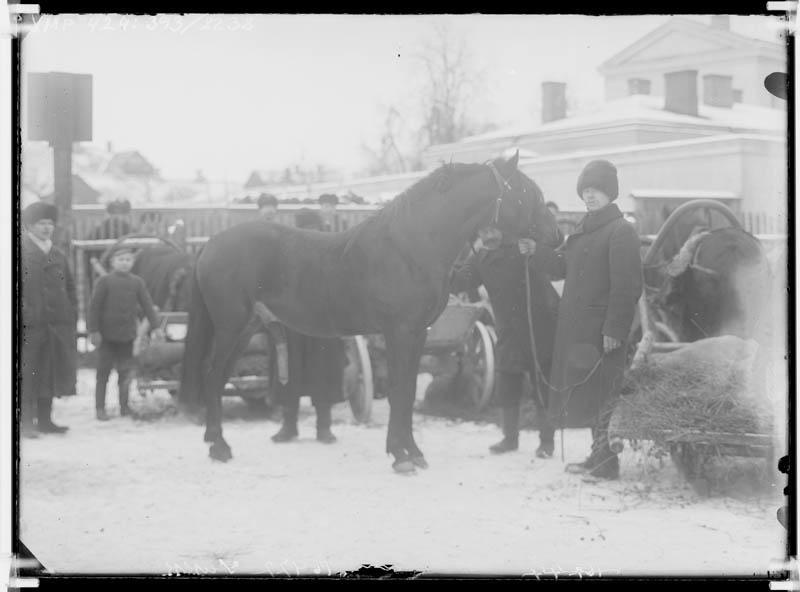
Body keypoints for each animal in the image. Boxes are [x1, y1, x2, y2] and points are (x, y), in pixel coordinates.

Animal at [179, 155, 560, 474]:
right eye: (525, 193)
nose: (556, 236)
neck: (411, 246)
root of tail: (209, 246)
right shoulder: (399, 332)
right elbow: (398, 392)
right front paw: (401, 456)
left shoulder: (417, 333)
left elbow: (407, 391)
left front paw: (413, 453)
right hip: (231, 326)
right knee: (213, 375)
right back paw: (218, 447)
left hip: (245, 328)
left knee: (217, 377)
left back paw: (218, 443)